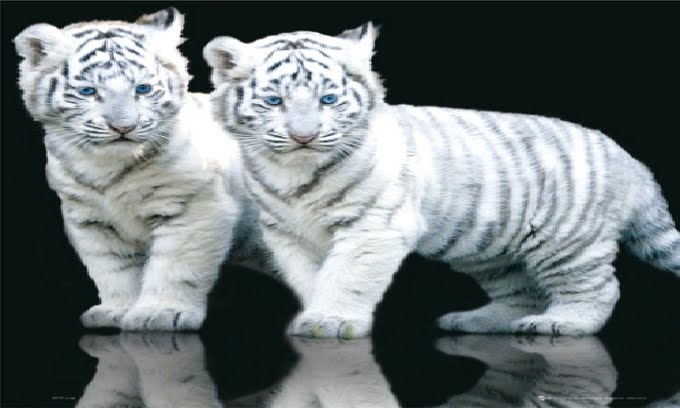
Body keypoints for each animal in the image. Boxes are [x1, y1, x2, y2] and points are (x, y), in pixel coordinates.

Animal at [14, 8, 262, 331]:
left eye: (142, 89)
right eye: (88, 91)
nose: (123, 127)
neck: (107, 170)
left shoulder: (196, 207)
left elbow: (174, 264)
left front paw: (162, 313)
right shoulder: (89, 219)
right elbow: (112, 267)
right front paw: (117, 310)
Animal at [203, 22, 680, 339]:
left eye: (329, 99)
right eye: (273, 101)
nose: (304, 136)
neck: (294, 174)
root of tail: (630, 160)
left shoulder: (373, 227)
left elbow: (347, 274)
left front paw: (332, 320)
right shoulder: (288, 233)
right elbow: (310, 276)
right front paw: (314, 315)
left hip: (569, 242)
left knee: (599, 288)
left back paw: (561, 322)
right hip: (494, 252)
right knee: (519, 292)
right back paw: (475, 321)